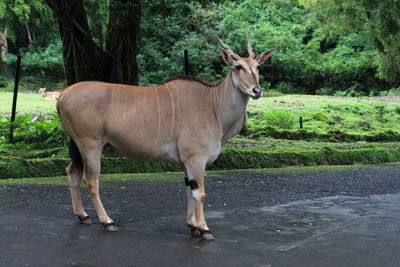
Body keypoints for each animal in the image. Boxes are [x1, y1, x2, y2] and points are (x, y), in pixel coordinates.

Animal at [56, 37, 274, 241]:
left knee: (72, 172)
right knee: (91, 179)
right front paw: (204, 229)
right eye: (238, 67)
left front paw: (193, 226)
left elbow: (189, 189)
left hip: (78, 146)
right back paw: (107, 221)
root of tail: (62, 96)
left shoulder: (186, 161)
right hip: (90, 145)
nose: (257, 90)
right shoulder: (196, 159)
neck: (213, 104)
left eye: (257, 67)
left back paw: (83, 216)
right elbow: (200, 193)